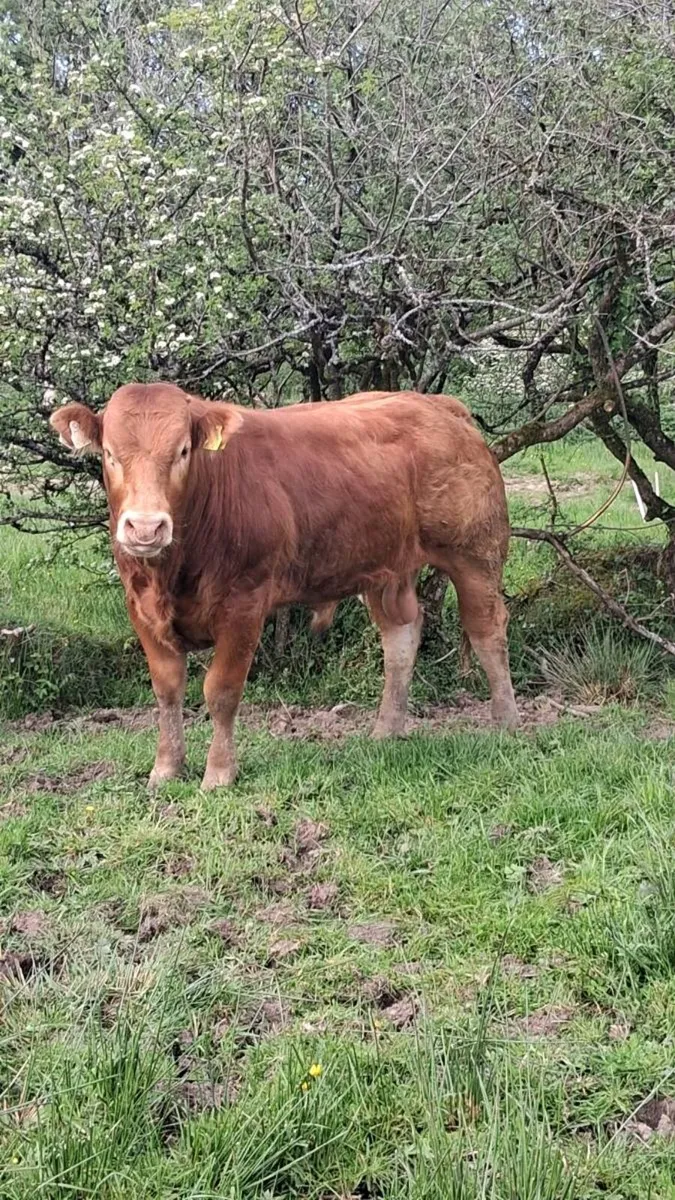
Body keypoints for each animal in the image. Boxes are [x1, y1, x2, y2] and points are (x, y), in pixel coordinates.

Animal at [51, 385, 518, 790]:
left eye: (182, 451)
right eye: (110, 454)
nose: (146, 527)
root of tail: (439, 405)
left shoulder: (244, 604)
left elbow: (221, 691)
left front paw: (218, 774)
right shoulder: (141, 607)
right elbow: (167, 690)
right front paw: (165, 769)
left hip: (475, 554)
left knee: (487, 633)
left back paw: (505, 722)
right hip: (387, 568)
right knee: (401, 636)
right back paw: (386, 729)